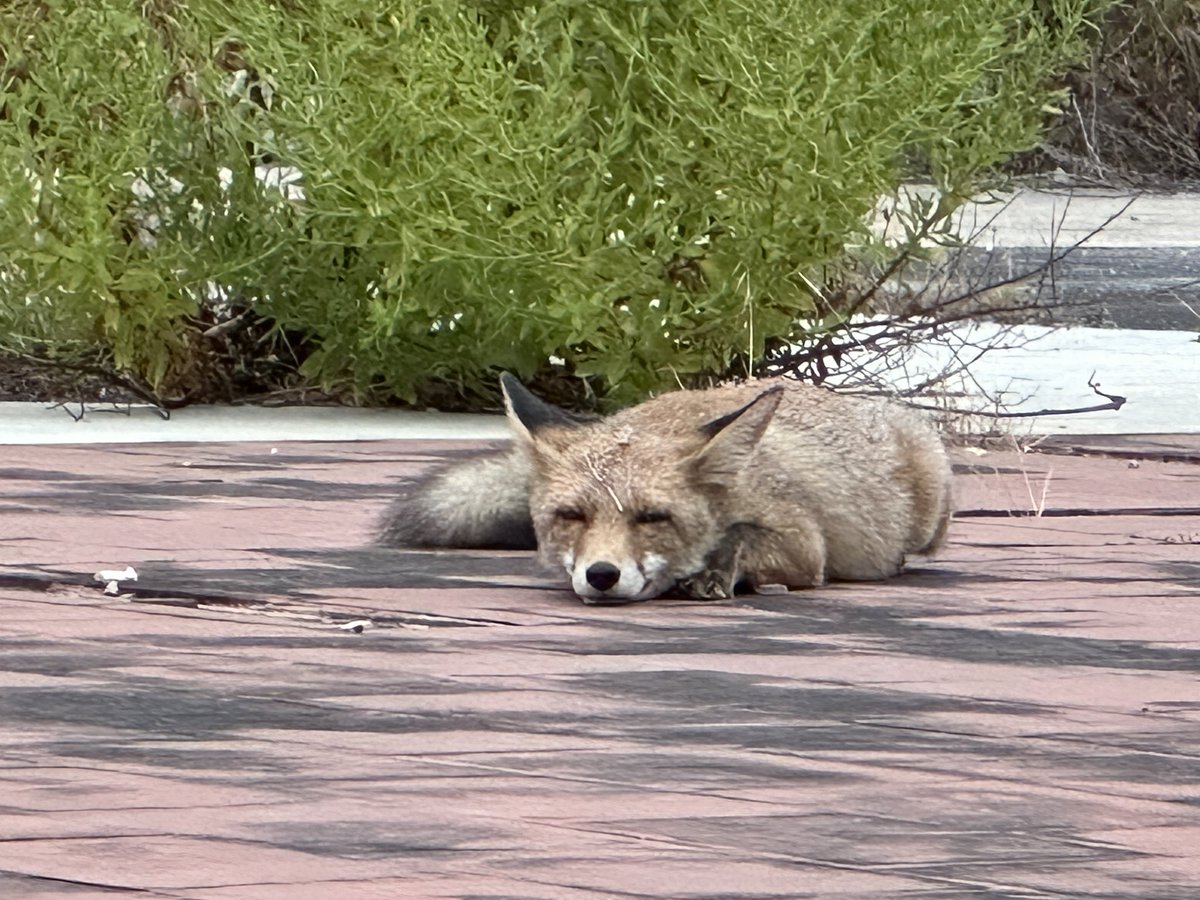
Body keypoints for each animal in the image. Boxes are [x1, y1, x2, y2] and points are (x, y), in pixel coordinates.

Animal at [379, 373, 953, 604]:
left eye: (653, 518)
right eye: (572, 516)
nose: (602, 575)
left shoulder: (804, 544)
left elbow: (742, 538)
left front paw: (713, 571)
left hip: (927, 518)